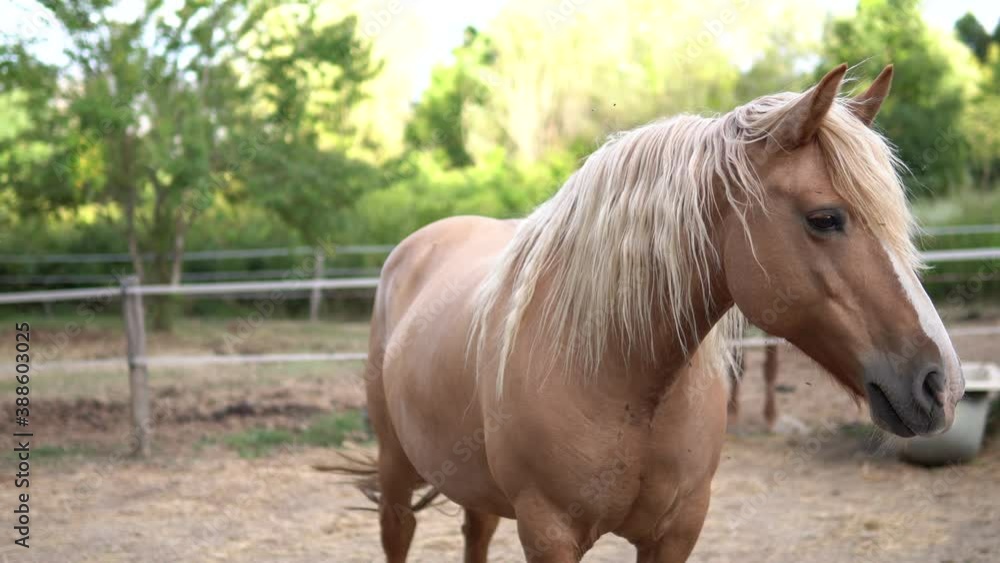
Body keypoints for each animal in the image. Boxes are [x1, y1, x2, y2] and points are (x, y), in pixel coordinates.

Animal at [355, 64, 965, 562]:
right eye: (825, 218)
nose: (942, 385)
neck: (619, 377)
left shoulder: (677, 531)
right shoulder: (548, 533)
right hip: (395, 472)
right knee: (397, 533)